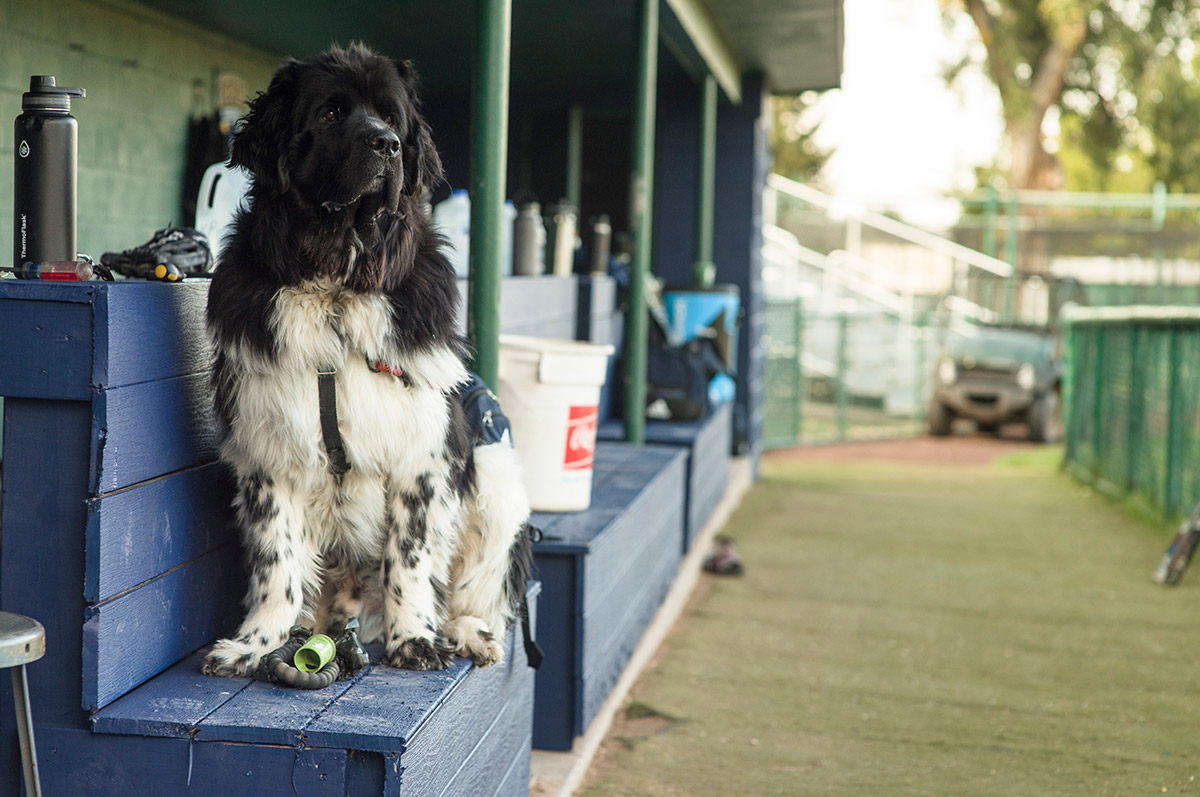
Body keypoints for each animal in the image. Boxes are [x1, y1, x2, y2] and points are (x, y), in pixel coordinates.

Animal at [204, 43, 532, 676]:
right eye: (331, 113)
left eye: (392, 118)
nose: (388, 145)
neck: (336, 283)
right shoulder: (267, 449)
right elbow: (276, 561)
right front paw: (254, 643)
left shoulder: (423, 450)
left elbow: (410, 555)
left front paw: (415, 640)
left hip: (497, 477)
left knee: (473, 590)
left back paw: (465, 633)